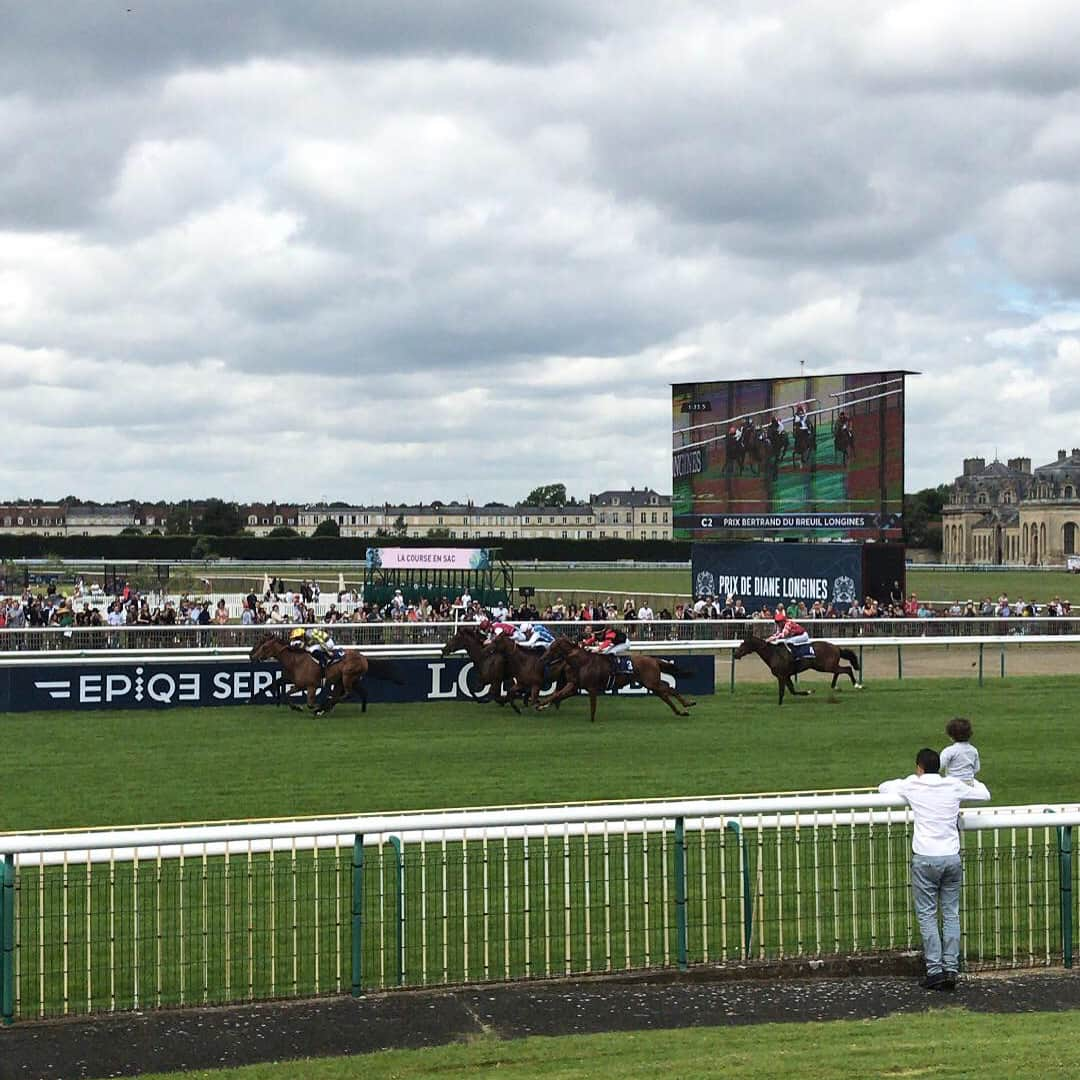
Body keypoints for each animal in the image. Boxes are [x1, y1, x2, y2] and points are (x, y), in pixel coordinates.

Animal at [535, 635, 695, 721]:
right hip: (651, 684)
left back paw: (687, 704)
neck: (582, 662)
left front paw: (592, 720)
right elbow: (556, 694)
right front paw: (540, 704)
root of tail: (654, 659)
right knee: (666, 695)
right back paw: (681, 711)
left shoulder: (592, 688)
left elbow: (593, 706)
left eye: (553, 648)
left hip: (652, 682)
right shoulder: (574, 685)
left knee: (669, 689)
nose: (541, 659)